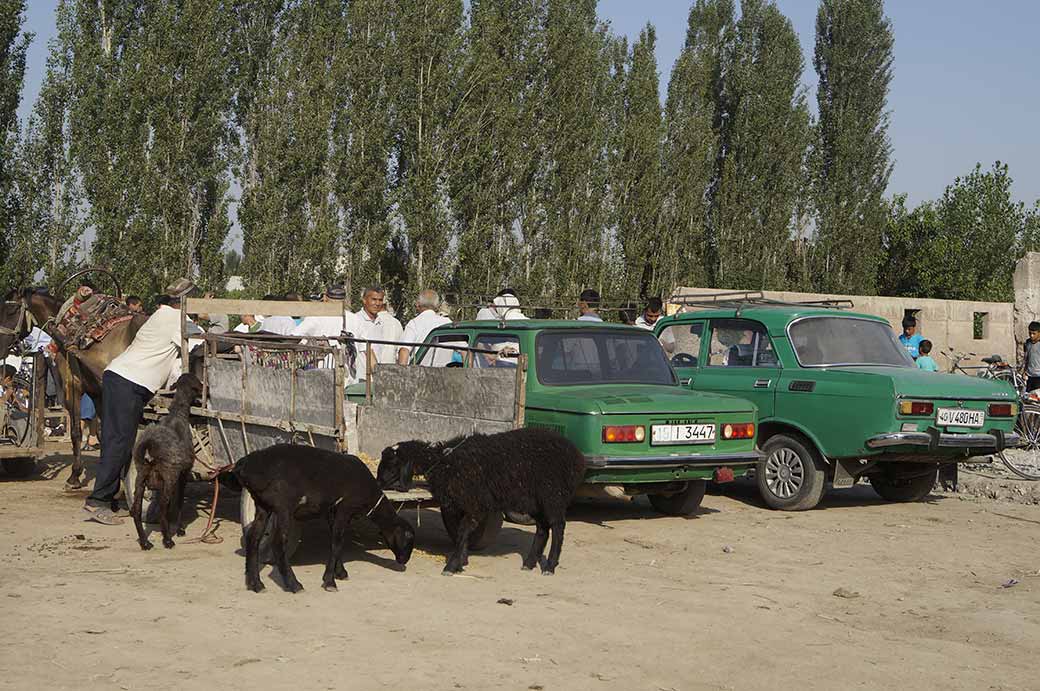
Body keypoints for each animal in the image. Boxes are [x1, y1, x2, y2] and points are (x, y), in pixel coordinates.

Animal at [0, 289, 148, 489]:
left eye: (11, 311)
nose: (0, 346)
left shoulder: (73, 388)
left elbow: (76, 432)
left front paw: (74, 476)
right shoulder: (97, 393)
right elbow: (106, 434)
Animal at [130, 372, 202, 549]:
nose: (205, 389)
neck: (178, 413)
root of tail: (149, 446)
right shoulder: (183, 472)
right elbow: (179, 502)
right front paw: (180, 530)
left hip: (141, 476)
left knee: (136, 510)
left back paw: (145, 542)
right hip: (169, 475)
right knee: (163, 508)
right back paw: (168, 539)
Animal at [236, 445, 413, 591]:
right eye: (408, 539)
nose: (404, 562)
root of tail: (247, 464)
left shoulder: (331, 511)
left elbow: (337, 541)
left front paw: (340, 573)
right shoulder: (345, 508)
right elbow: (337, 542)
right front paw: (330, 581)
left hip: (262, 504)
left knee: (253, 538)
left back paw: (255, 584)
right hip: (283, 505)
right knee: (278, 543)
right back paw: (294, 585)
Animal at [376, 428, 590, 574]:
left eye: (392, 463)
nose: (377, 482)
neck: (444, 462)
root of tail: (576, 456)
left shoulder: (473, 504)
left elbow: (462, 532)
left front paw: (452, 565)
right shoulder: (460, 506)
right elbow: (462, 533)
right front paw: (462, 561)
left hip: (553, 496)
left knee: (558, 527)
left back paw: (550, 566)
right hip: (534, 501)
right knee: (543, 529)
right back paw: (529, 563)